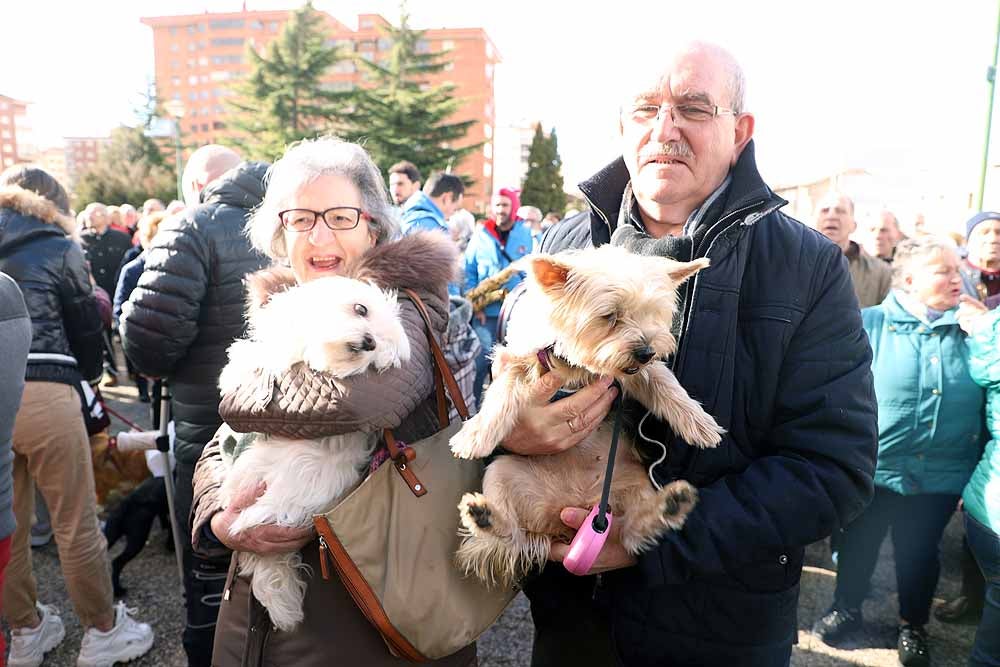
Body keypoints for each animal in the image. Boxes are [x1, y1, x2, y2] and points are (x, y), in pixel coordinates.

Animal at [450, 245, 724, 584]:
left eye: (652, 313)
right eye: (610, 316)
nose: (646, 352)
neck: (579, 366)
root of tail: (571, 514)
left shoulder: (631, 374)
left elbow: (664, 382)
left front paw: (700, 423)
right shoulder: (520, 360)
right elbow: (502, 390)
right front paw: (474, 435)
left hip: (636, 483)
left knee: (630, 533)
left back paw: (668, 506)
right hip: (501, 473)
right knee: (511, 535)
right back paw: (485, 517)